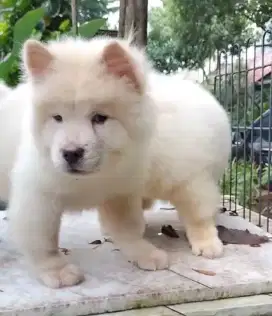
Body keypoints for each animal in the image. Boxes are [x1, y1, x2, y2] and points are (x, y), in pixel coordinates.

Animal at [4, 37, 170, 288]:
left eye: (99, 118)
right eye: (58, 118)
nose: (71, 153)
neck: (90, 180)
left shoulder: (120, 192)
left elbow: (129, 228)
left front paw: (145, 253)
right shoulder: (38, 196)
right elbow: (44, 241)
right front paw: (58, 271)